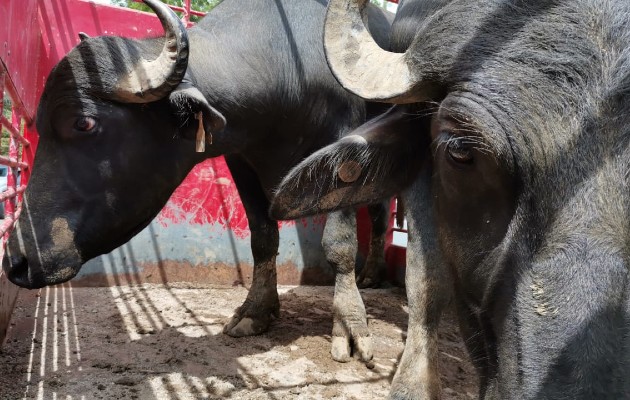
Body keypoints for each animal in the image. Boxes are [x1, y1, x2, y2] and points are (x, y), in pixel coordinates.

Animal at [1, 0, 396, 362]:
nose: (17, 262)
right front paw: (255, 311)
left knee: (380, 214)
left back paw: (371, 275)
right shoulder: (241, 162)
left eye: (83, 122)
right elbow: (262, 238)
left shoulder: (343, 147)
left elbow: (339, 243)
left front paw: (350, 324)